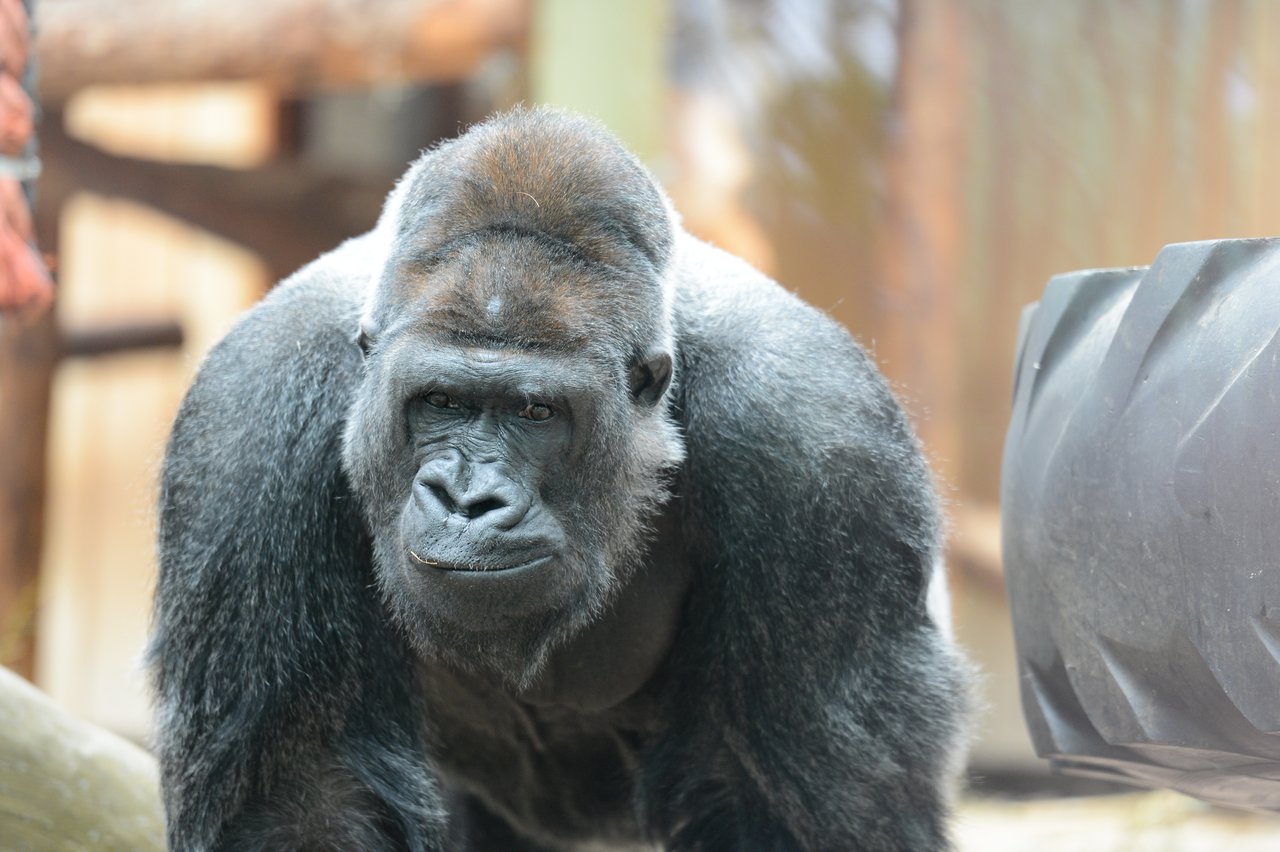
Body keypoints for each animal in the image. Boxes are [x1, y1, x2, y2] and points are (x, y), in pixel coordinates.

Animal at [149, 106, 969, 851]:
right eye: (441, 402)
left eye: (536, 411)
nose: (468, 500)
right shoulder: (252, 416)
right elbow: (303, 798)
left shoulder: (819, 451)